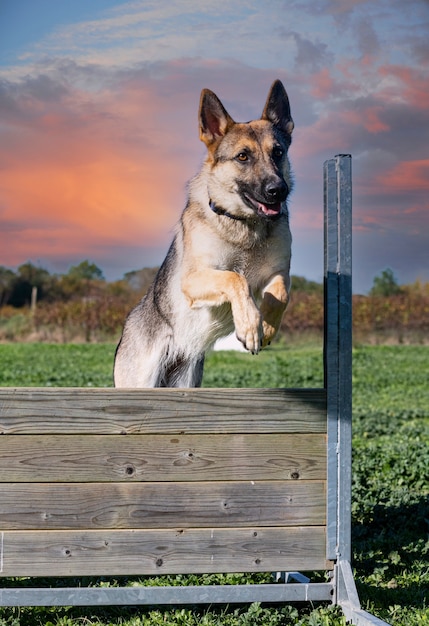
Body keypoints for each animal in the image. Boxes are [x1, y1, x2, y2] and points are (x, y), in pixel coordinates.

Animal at [113, 79, 292, 386]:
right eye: (243, 156)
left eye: (278, 152)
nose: (278, 190)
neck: (243, 225)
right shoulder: (194, 279)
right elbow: (235, 279)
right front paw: (250, 324)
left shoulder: (279, 273)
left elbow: (279, 294)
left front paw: (267, 327)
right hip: (140, 382)